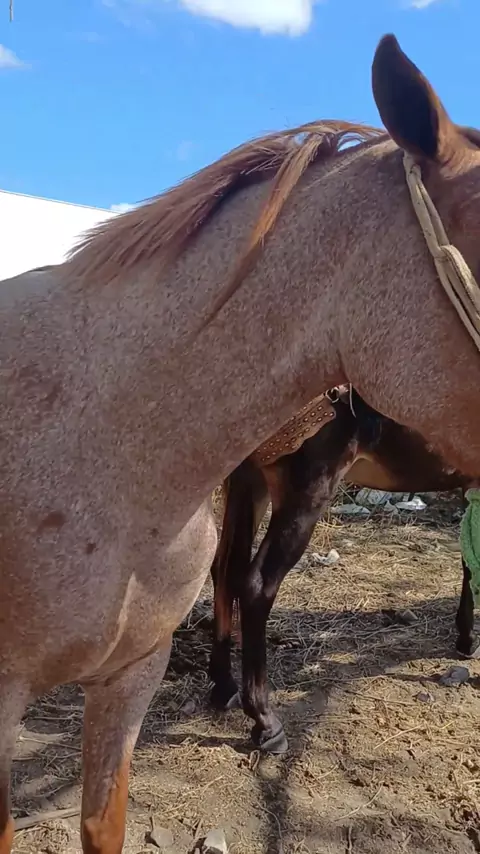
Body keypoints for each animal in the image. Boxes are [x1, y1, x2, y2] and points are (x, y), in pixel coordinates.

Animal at [208, 386, 478, 753]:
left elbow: (468, 559)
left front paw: (465, 637)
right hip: (305, 490)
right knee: (257, 584)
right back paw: (266, 722)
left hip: (247, 480)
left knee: (224, 570)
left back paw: (224, 686)